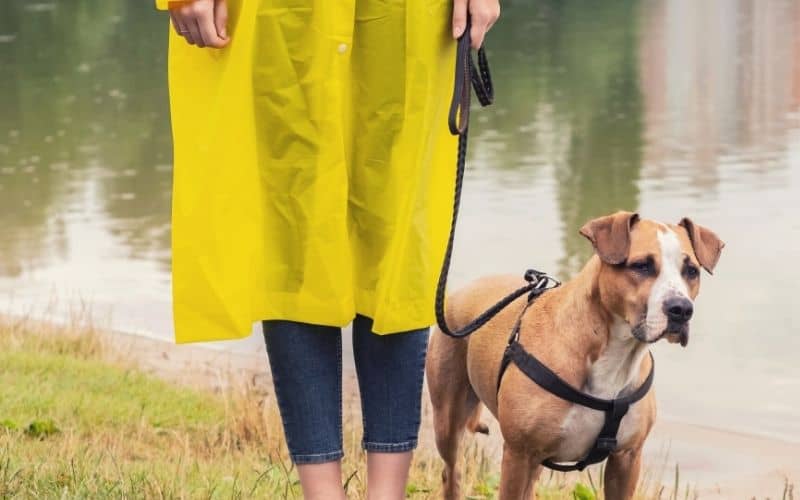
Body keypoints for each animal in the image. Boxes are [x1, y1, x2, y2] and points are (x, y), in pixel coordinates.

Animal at [428, 211, 728, 500]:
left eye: (691, 271)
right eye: (641, 266)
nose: (681, 309)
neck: (616, 354)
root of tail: (465, 289)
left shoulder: (626, 459)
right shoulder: (518, 453)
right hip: (448, 422)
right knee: (450, 471)